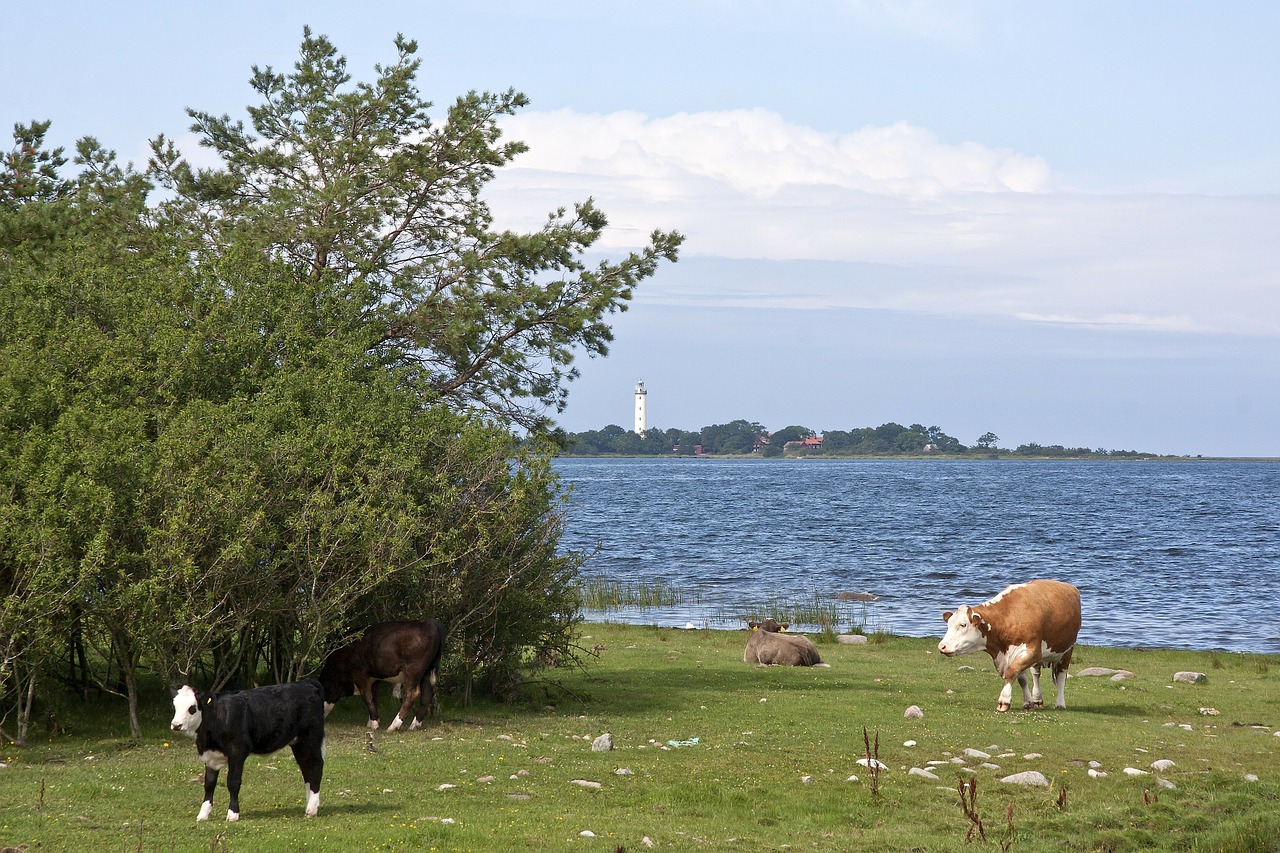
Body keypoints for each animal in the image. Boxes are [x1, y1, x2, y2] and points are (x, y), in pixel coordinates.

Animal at [168, 676, 325, 819]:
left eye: (192, 708)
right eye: (175, 707)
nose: (176, 725)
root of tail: (307, 682)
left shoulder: (237, 752)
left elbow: (233, 782)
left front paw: (233, 814)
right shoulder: (210, 756)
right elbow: (209, 784)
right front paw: (203, 814)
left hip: (310, 738)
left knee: (315, 766)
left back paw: (311, 809)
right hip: (298, 743)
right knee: (306, 768)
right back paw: (310, 805)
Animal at [942, 578, 1080, 712]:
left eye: (963, 625)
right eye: (948, 624)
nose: (941, 646)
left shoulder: (1032, 651)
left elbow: (1012, 672)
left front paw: (1004, 701)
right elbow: (1022, 679)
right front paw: (1028, 703)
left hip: (1067, 650)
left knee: (1061, 676)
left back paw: (1060, 703)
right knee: (1036, 673)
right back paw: (1037, 699)